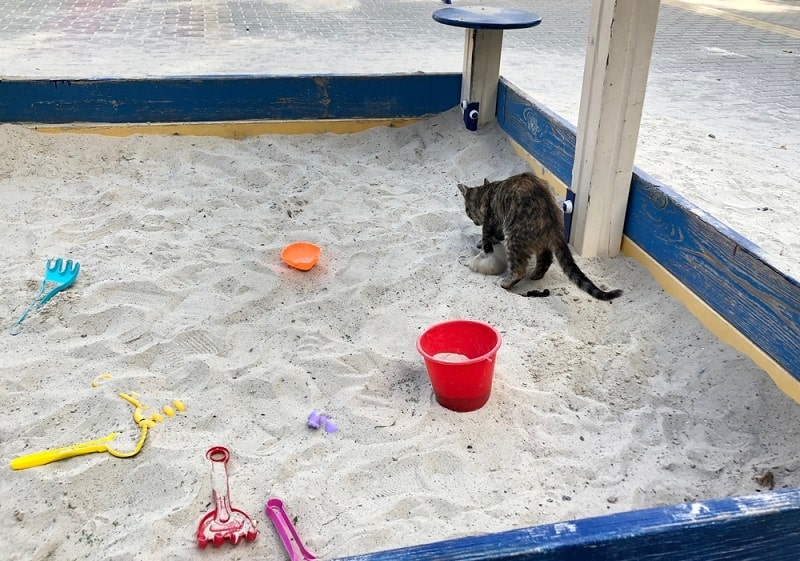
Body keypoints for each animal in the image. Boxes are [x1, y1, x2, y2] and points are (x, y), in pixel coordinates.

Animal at [456, 173, 624, 300]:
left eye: (467, 210)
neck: (487, 191)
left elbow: (488, 240)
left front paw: (481, 246)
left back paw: (505, 282)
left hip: (514, 237)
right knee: (546, 258)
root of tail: (553, 220)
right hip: (539, 241)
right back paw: (536, 274)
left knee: (519, 270)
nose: (474, 221)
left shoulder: (492, 224)